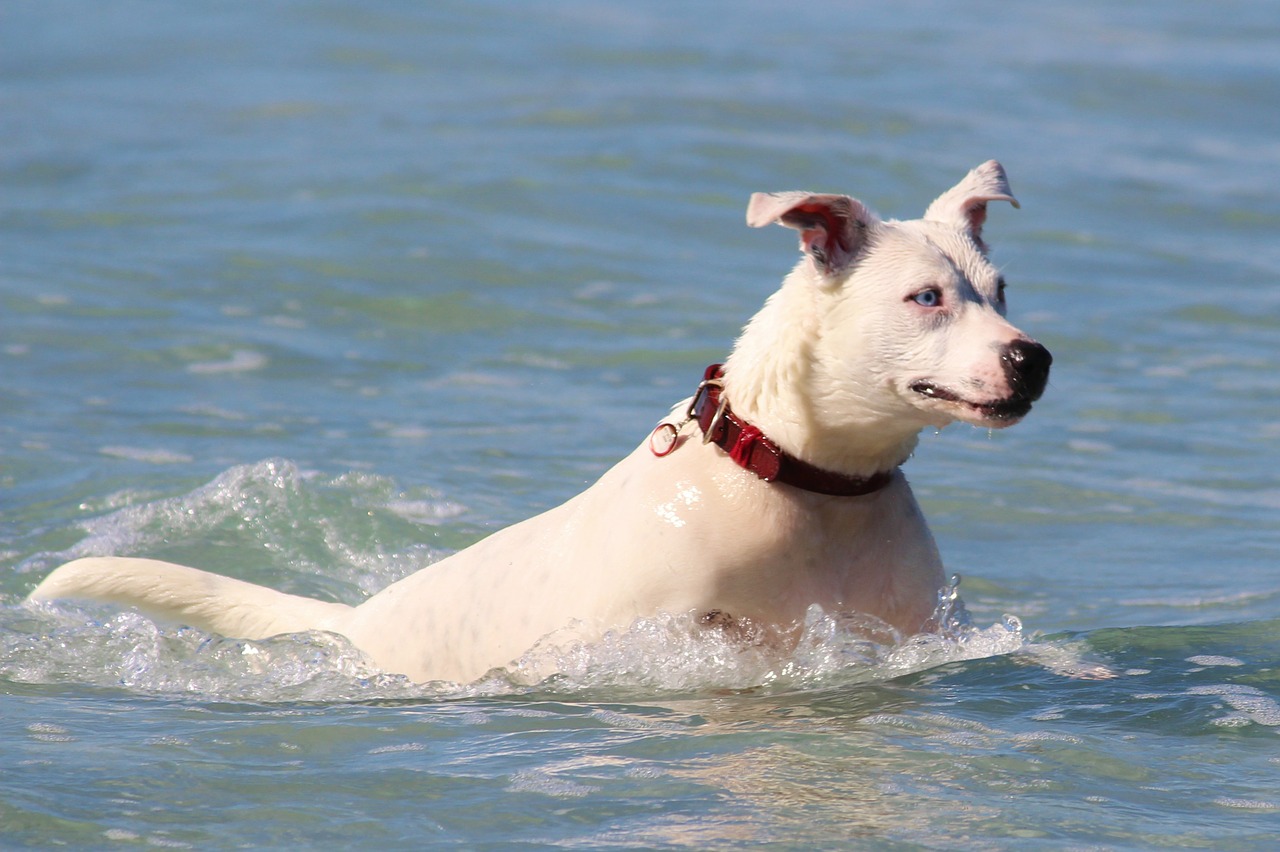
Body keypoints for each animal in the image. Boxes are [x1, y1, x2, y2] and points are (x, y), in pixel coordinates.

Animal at [24, 161, 1054, 685]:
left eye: (1002, 291)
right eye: (925, 298)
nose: (1032, 358)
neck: (808, 480)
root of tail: (354, 621)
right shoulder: (643, 630)